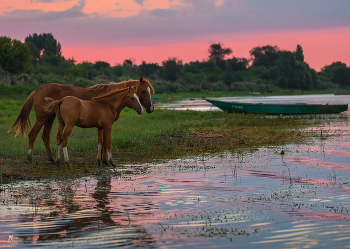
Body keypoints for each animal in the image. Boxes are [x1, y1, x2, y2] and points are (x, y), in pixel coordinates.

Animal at [7, 77, 153, 164]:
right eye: (143, 91)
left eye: (150, 91)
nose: (150, 109)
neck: (107, 100)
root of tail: (38, 90)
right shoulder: (106, 125)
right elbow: (105, 142)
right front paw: (106, 161)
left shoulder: (100, 126)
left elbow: (101, 142)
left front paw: (101, 161)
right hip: (43, 118)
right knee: (33, 134)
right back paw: (31, 158)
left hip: (51, 118)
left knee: (46, 136)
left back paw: (53, 159)